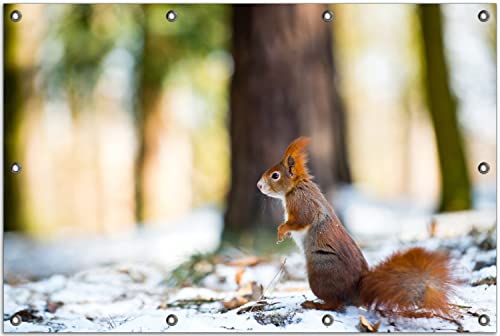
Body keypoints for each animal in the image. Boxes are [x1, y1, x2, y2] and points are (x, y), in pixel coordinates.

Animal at [258, 136, 458, 316]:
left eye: (275, 175)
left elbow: (301, 220)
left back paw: (315, 304)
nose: (259, 185)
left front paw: (281, 231)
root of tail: (356, 292)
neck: (295, 187)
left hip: (320, 273)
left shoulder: (302, 203)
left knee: (336, 304)